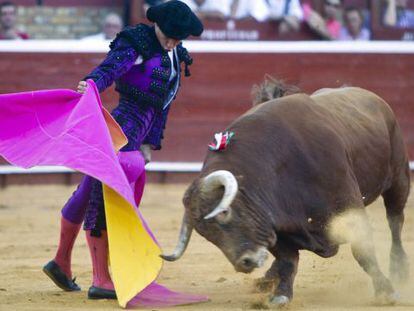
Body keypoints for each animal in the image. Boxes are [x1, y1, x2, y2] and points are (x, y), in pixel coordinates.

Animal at [160, 80, 410, 308]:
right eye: (204, 234)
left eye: (224, 213)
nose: (245, 263)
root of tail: (374, 99)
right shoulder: (276, 229)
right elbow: (288, 260)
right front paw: (280, 296)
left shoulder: (349, 208)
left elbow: (362, 251)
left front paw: (386, 292)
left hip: (399, 178)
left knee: (395, 221)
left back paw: (400, 269)